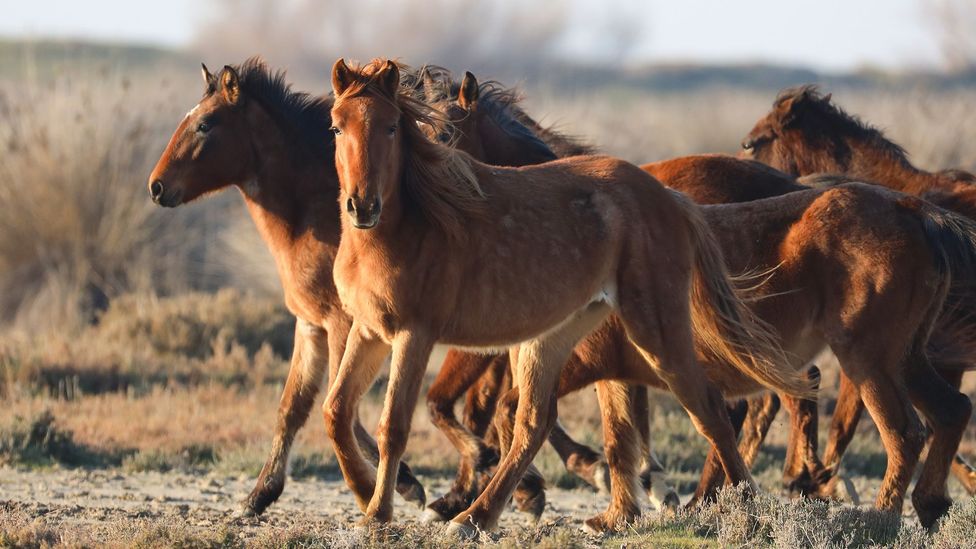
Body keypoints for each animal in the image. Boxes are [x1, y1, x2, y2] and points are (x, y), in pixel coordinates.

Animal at [145, 60, 428, 520]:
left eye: (204, 124)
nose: (156, 186)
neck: (311, 214)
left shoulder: (344, 325)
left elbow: (343, 410)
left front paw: (393, 486)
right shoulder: (310, 326)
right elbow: (292, 408)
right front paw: (259, 494)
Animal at [324, 60, 804, 536]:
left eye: (392, 127)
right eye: (336, 126)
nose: (362, 206)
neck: (404, 230)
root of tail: (671, 199)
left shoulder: (416, 335)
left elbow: (394, 425)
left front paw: (378, 513)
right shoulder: (370, 331)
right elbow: (337, 411)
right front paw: (367, 495)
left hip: (657, 331)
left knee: (710, 407)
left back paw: (746, 509)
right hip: (553, 337)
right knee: (534, 422)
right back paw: (477, 517)